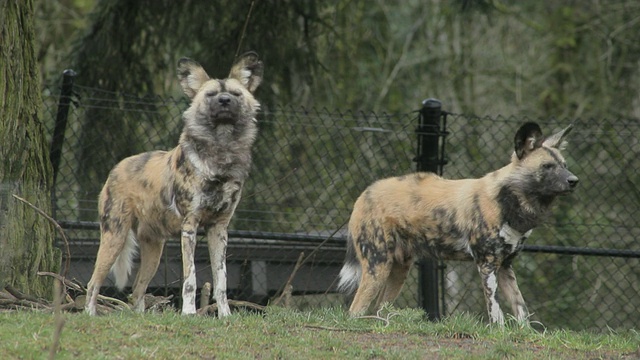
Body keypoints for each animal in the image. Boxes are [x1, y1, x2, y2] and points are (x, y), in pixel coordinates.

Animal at [85, 52, 264, 316]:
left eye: (235, 94)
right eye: (211, 95)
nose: (224, 101)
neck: (221, 152)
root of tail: (116, 168)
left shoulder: (219, 229)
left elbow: (221, 281)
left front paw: (225, 316)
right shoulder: (189, 228)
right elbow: (190, 279)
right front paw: (189, 314)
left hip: (154, 249)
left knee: (137, 290)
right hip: (114, 237)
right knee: (93, 283)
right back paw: (89, 314)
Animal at [340, 122, 580, 324]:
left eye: (564, 165)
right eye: (547, 166)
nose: (574, 181)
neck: (509, 202)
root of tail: (366, 192)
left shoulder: (505, 266)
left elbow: (521, 310)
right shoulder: (487, 265)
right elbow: (496, 312)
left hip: (398, 269)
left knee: (379, 309)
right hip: (377, 267)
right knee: (354, 311)